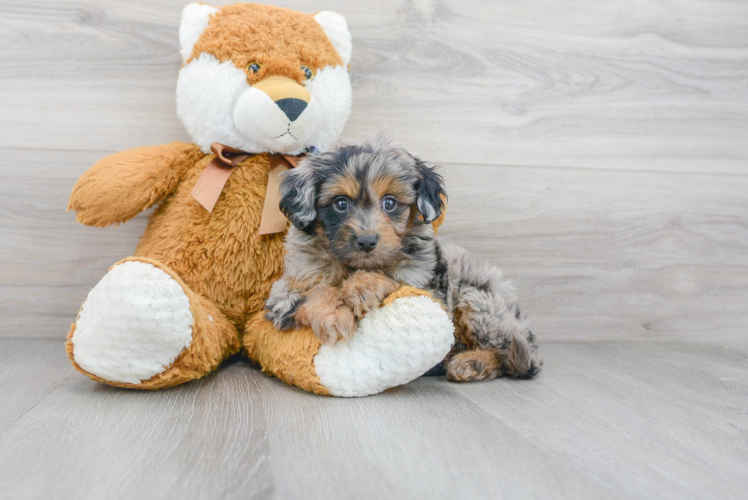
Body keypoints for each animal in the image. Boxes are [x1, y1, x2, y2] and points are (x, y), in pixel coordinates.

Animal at [266, 135, 540, 380]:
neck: (353, 265)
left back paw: (472, 363)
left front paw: (361, 287)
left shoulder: (422, 285)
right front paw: (333, 315)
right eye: (341, 203)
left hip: (477, 300)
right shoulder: (283, 294)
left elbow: (391, 280)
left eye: (390, 203)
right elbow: (316, 289)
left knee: (506, 354)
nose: (367, 241)